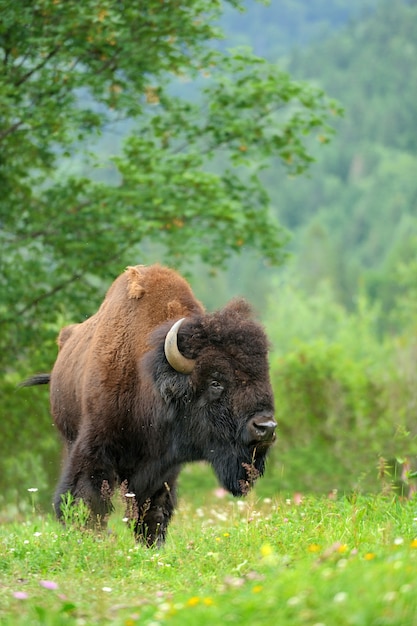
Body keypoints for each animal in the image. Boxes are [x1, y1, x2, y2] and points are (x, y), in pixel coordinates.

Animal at [22, 260, 276, 544]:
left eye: (263, 374)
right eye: (215, 382)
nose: (265, 427)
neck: (148, 378)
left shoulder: (163, 468)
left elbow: (153, 509)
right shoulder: (95, 447)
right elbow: (88, 498)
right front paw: (93, 536)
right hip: (69, 436)